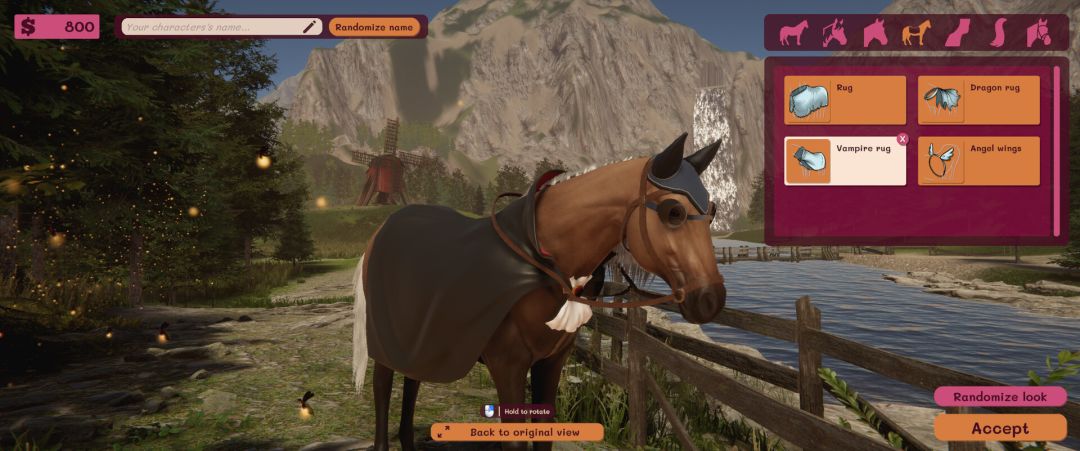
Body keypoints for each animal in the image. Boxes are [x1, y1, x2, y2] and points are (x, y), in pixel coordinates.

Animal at [352, 133, 727, 450]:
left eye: (712, 212)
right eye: (673, 212)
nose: (711, 299)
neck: (541, 257)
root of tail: (380, 233)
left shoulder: (551, 362)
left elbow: (545, 433)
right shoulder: (507, 364)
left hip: (421, 340)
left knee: (412, 382)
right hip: (386, 341)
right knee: (382, 388)